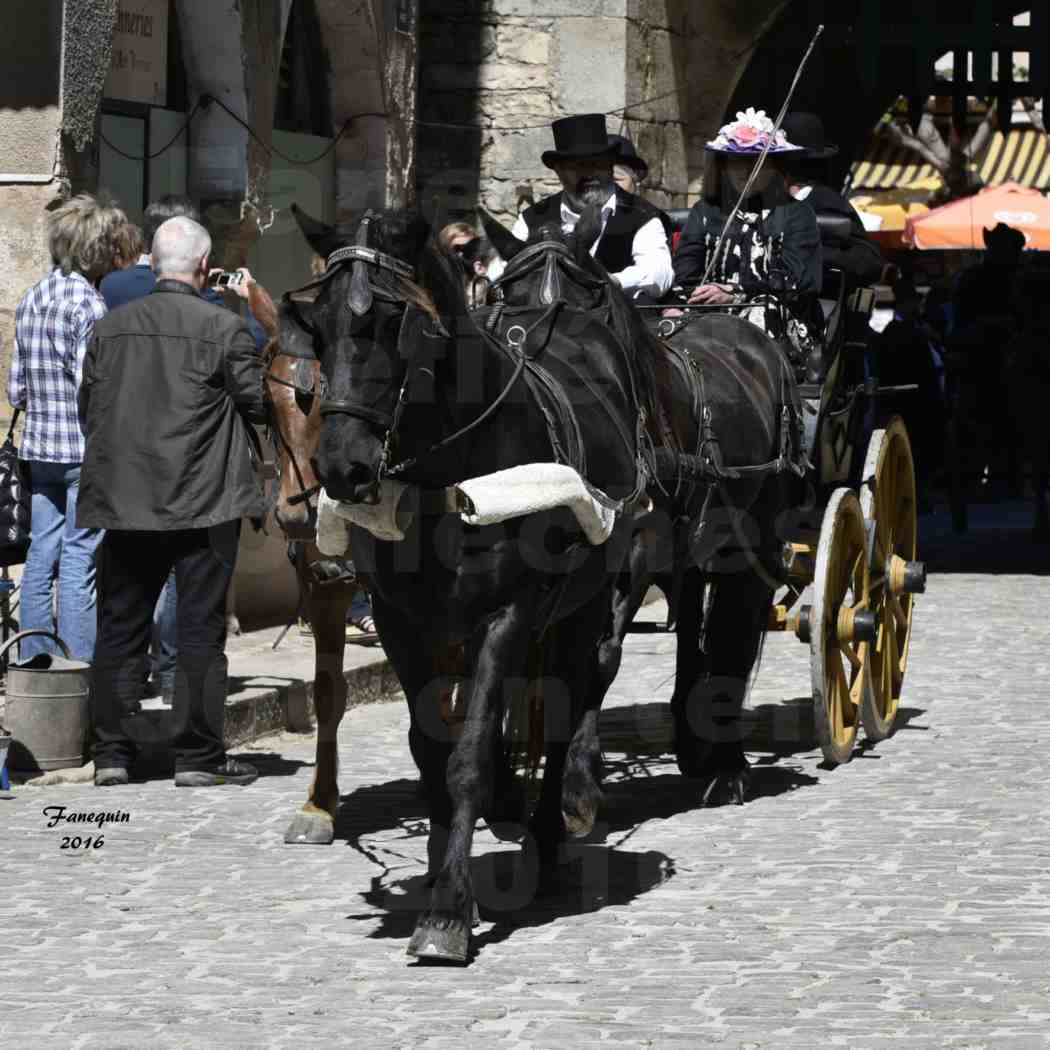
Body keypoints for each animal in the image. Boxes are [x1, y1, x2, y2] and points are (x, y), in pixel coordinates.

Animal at [287, 202, 646, 961]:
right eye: (317, 324)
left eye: (391, 319)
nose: (341, 467)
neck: (451, 476)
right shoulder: (401, 619)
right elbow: (430, 747)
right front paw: (434, 870)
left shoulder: (505, 615)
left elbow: (471, 754)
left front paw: (449, 911)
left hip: (589, 596)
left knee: (571, 703)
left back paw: (552, 836)